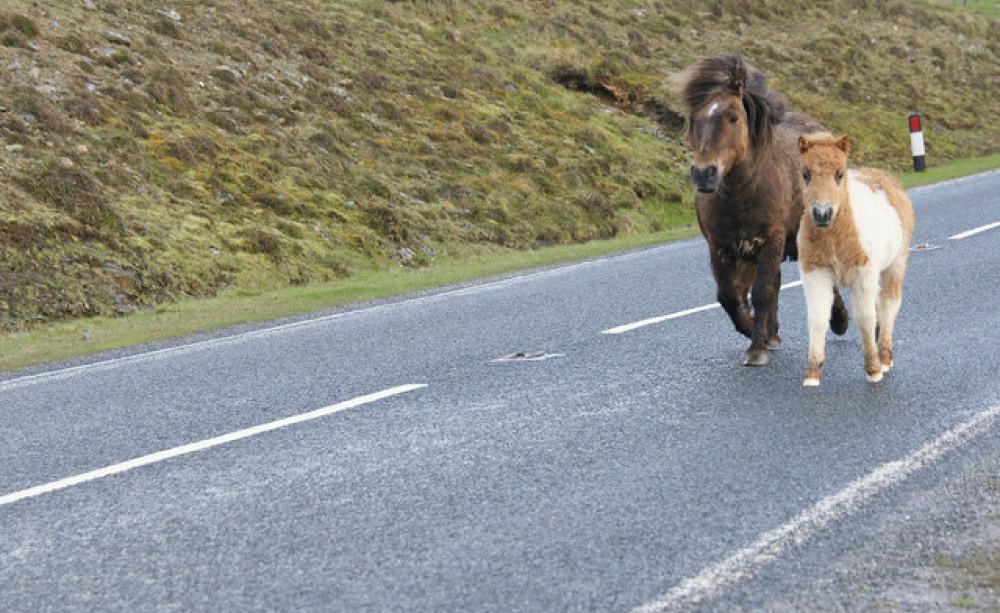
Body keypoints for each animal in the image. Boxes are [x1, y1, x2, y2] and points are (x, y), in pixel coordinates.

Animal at [677, 55, 850, 366]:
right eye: (694, 119)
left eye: (733, 117)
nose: (703, 173)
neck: (743, 192)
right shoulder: (723, 247)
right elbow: (731, 297)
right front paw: (755, 332)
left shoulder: (772, 239)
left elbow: (761, 292)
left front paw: (757, 347)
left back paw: (839, 320)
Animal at [797, 133, 915, 386]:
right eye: (806, 173)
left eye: (839, 174)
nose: (822, 213)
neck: (835, 236)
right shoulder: (815, 272)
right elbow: (817, 317)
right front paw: (812, 373)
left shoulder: (863, 274)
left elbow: (865, 317)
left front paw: (873, 369)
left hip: (897, 262)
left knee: (889, 302)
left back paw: (885, 357)